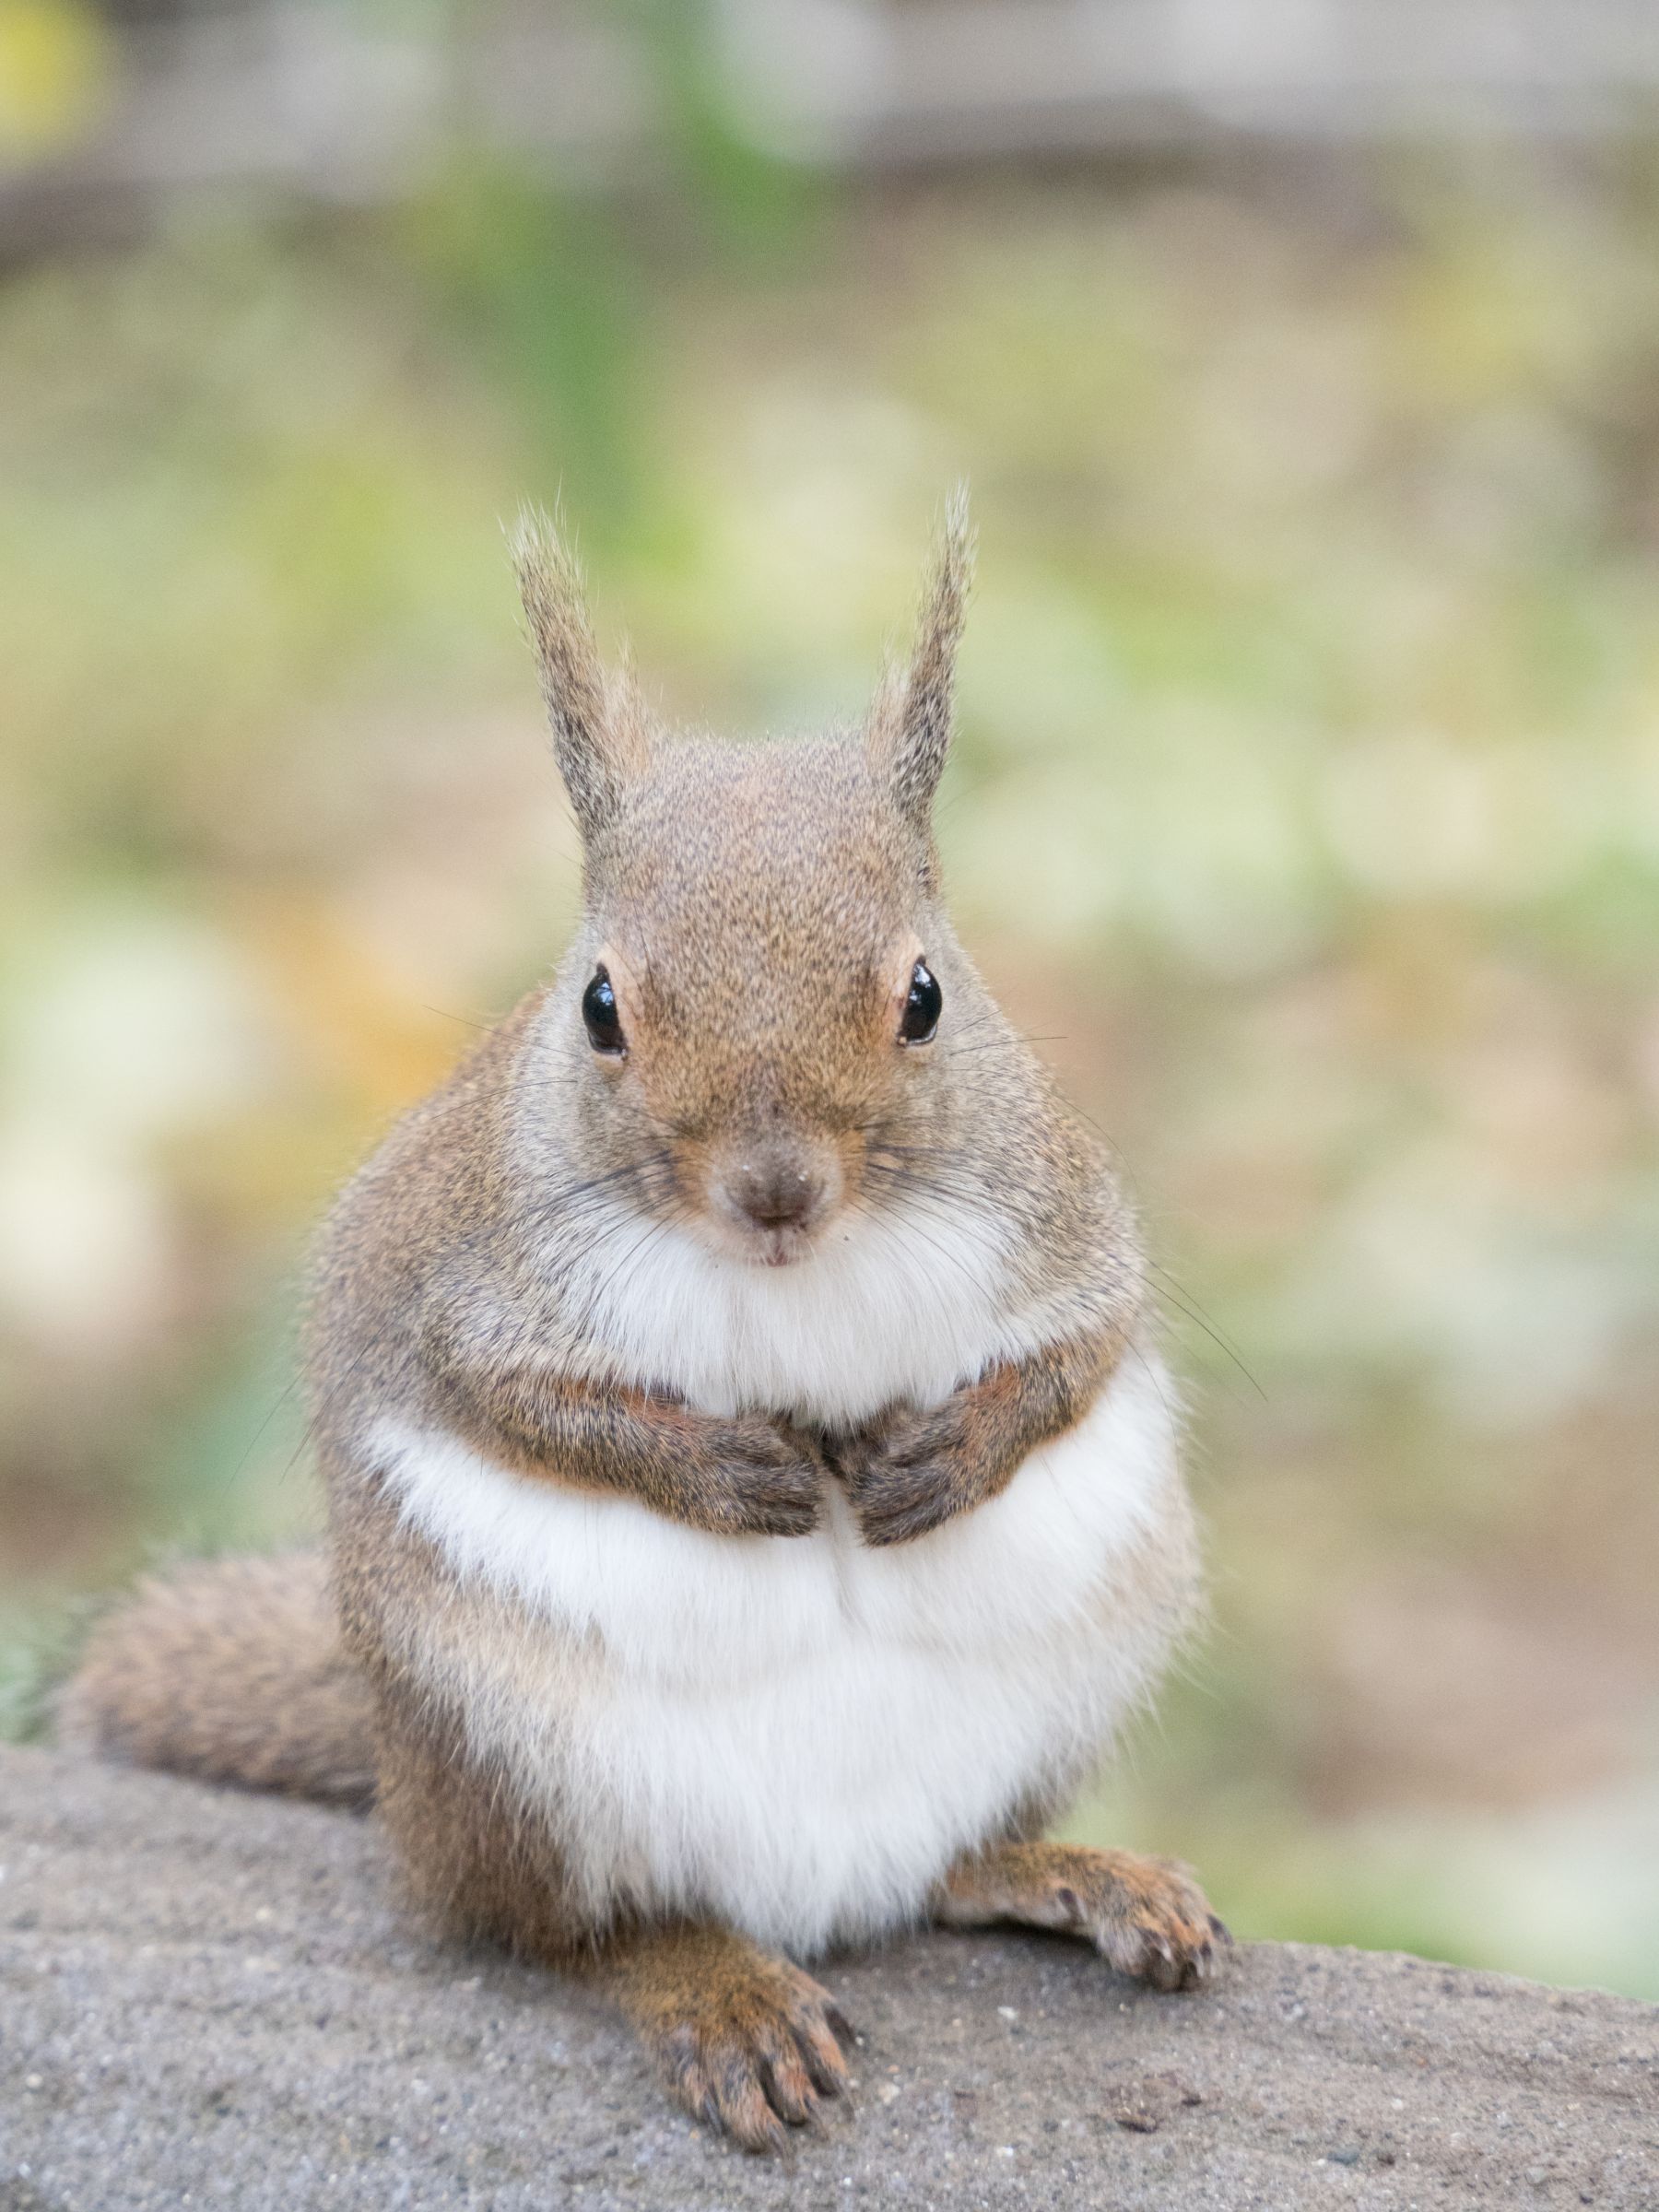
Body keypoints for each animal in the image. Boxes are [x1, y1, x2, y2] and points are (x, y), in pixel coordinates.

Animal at [59, 496, 1223, 2153]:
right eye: (600, 1006)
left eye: (928, 995)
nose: (776, 1191)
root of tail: (820, 1894)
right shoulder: (453, 1280)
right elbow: (511, 1401)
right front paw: (720, 1470)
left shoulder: (1066, 1221)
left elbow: (1082, 1352)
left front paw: (946, 1453)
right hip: (513, 1756)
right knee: (559, 1932)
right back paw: (714, 1989)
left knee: (948, 1871)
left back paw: (1071, 1874)